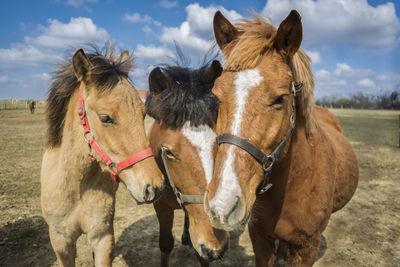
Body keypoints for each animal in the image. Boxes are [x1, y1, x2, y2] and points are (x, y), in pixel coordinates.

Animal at [40, 45, 164, 266]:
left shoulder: (102, 237)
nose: (155, 187)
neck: (76, 187)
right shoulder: (61, 242)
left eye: (143, 114)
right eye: (106, 118)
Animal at [146, 61, 228, 266]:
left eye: (218, 141)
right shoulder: (161, 207)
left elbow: (201, 256)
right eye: (168, 152)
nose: (216, 245)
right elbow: (166, 244)